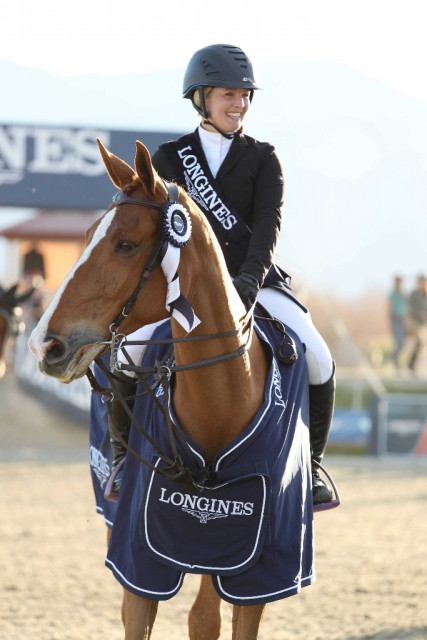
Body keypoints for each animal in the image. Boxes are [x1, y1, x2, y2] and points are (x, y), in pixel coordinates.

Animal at [27, 141, 314, 640]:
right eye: (87, 234)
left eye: (125, 244)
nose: (44, 343)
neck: (220, 405)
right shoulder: (138, 561)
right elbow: (135, 610)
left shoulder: (261, 574)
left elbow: (217, 618)